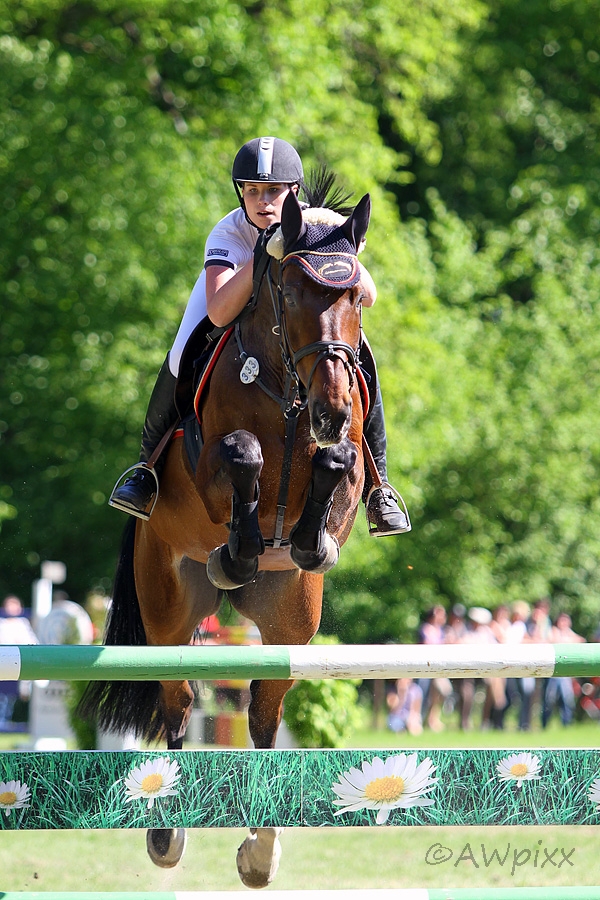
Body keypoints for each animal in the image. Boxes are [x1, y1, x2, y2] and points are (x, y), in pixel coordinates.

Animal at [79, 188, 370, 884]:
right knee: (179, 699)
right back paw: (167, 833)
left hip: (290, 621)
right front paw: (236, 551)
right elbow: (242, 455)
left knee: (264, 709)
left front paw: (306, 541)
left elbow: (337, 464)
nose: (332, 408)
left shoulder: (345, 470)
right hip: (167, 607)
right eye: (289, 291)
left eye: (355, 298)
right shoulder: (211, 467)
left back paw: (261, 848)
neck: (289, 393)